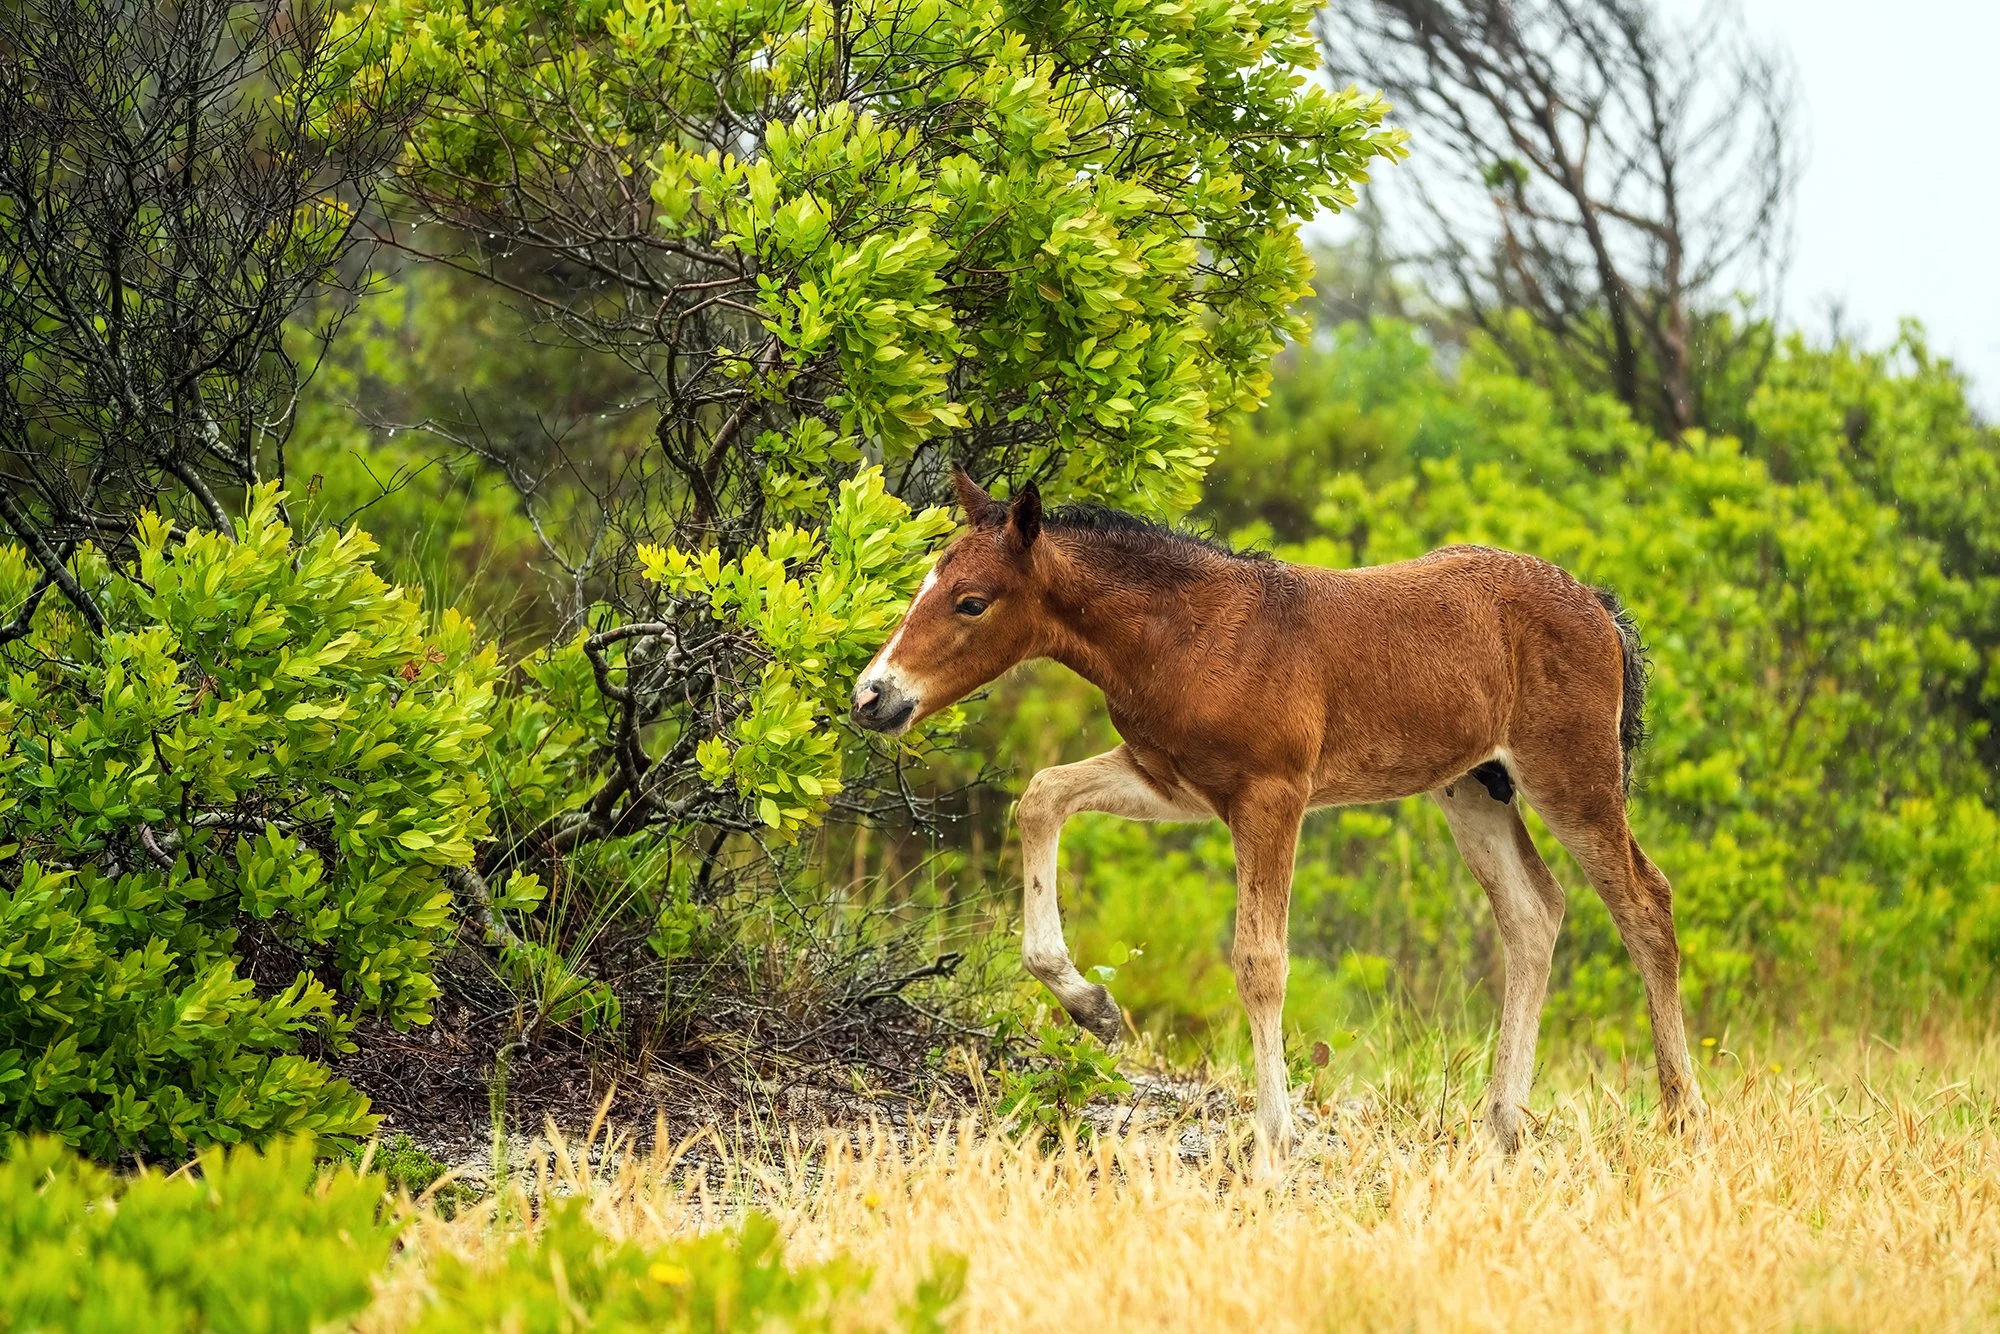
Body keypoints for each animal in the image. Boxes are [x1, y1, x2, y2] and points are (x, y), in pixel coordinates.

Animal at [851, 468, 1706, 1163]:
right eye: (925, 581)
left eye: (971, 601)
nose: (872, 696)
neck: (1187, 631)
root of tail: (1598, 606)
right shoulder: (1173, 783)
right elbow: (1042, 795)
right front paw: (1090, 1004)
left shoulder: (1273, 796)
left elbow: (1260, 961)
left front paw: (1274, 1137)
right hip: (1473, 786)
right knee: (1535, 912)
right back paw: (1501, 1128)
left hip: (1571, 776)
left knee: (1644, 903)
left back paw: (1682, 1117)